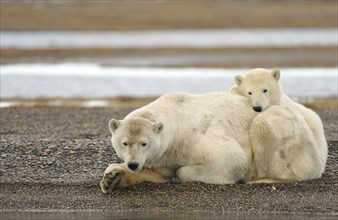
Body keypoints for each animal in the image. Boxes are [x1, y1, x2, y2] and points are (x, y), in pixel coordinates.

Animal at [101, 91, 324, 192]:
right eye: (124, 143)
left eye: (144, 143)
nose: (133, 163)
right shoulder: (163, 155)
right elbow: (157, 172)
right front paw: (113, 178)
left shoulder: (190, 140)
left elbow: (230, 159)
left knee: (264, 125)